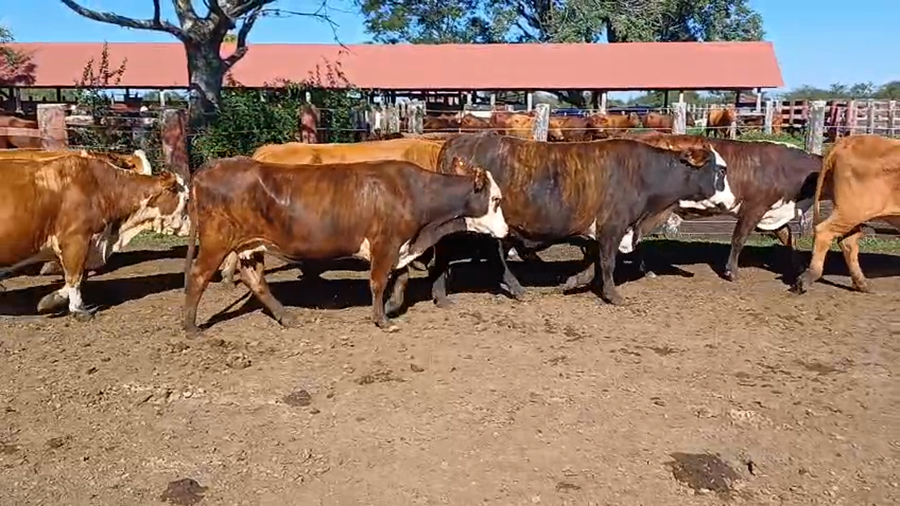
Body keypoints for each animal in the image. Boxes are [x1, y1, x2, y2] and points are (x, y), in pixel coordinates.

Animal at [0, 155, 188, 319]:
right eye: (187, 199)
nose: (190, 227)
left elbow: (79, 276)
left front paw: (50, 300)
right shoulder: (76, 239)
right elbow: (75, 276)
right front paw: (78, 309)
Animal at [182, 157, 508, 335]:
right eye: (495, 199)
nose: (505, 230)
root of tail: (212, 166)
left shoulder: (400, 246)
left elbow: (401, 278)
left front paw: (393, 306)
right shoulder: (385, 244)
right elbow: (378, 282)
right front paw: (382, 320)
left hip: (250, 245)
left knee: (255, 280)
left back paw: (286, 317)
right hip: (216, 241)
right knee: (197, 276)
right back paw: (190, 327)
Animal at [427, 134, 731, 307]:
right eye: (720, 170)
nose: (731, 200)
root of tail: (457, 142)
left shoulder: (601, 230)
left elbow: (594, 262)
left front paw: (573, 282)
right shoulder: (613, 226)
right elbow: (607, 262)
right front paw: (613, 296)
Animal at [605, 132, 823, 283]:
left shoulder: (771, 213)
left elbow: (789, 239)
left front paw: (799, 268)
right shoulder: (753, 208)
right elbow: (738, 239)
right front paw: (731, 272)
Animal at [792, 135, 900, 294]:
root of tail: (846, 140)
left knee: (847, 241)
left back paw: (862, 283)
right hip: (851, 211)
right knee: (824, 231)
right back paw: (808, 277)